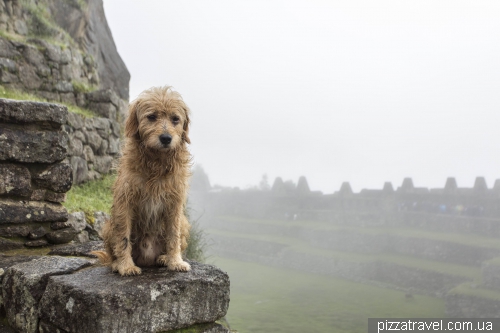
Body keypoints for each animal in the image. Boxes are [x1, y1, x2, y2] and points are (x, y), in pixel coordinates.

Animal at [92, 85, 191, 274]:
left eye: (175, 119)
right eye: (151, 117)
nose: (166, 138)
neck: (156, 163)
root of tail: (148, 259)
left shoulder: (174, 205)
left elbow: (173, 236)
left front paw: (175, 261)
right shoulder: (125, 201)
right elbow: (123, 237)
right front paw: (125, 265)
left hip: (183, 222)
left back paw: (164, 257)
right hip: (108, 226)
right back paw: (116, 263)